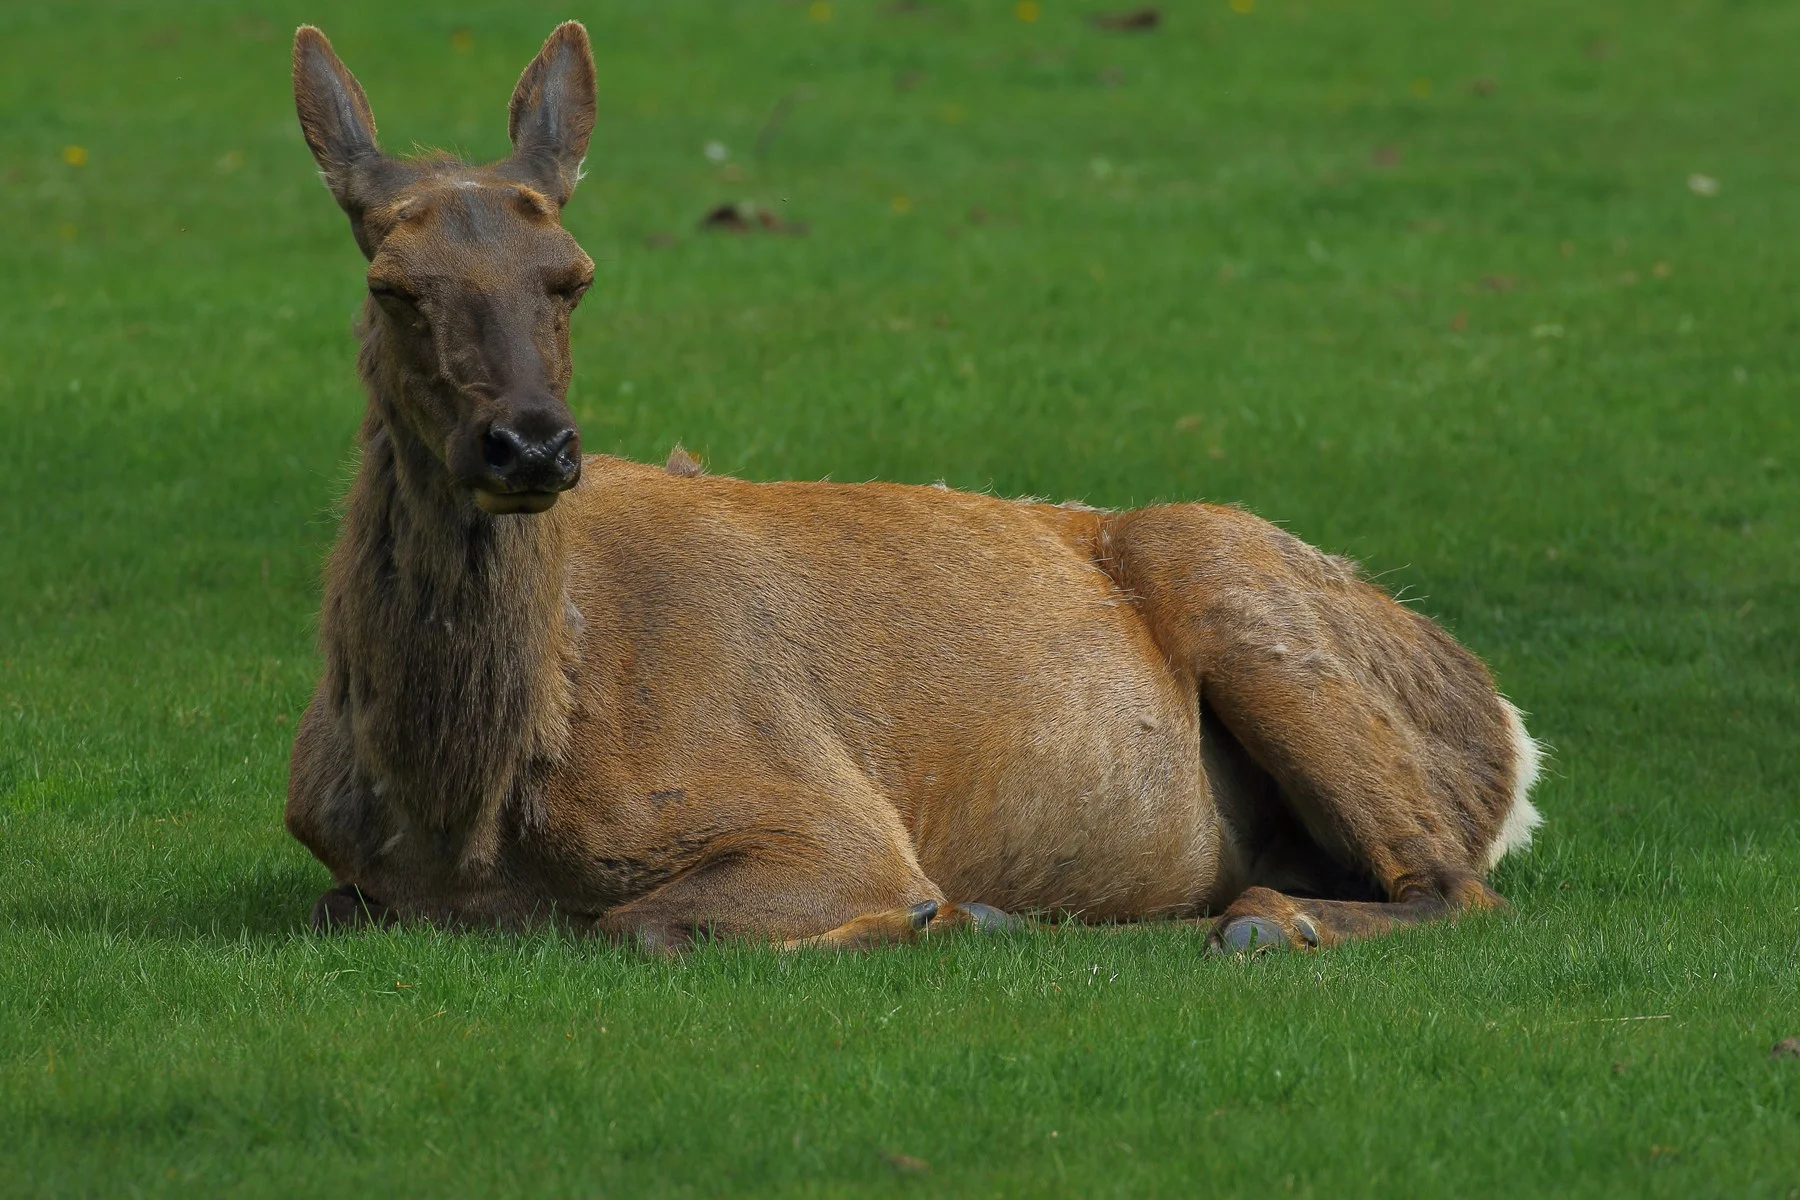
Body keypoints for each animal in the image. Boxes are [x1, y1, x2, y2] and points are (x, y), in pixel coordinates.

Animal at [285, 22, 1543, 954]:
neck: (472, 807)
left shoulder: (825, 818)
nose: (532, 448)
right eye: (394, 284)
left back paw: (1252, 924)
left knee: (1453, 887)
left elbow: (634, 924)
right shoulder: (339, 858)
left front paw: (936, 912)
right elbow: (337, 904)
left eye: (572, 277)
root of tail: (1509, 737)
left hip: (1239, 582)